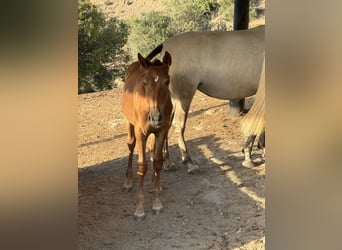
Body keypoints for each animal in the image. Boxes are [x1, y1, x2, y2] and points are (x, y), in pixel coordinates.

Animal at [146, 25, 264, 174]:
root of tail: (165, 44)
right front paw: (249, 155)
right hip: (183, 98)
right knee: (179, 125)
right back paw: (189, 162)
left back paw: (168, 162)